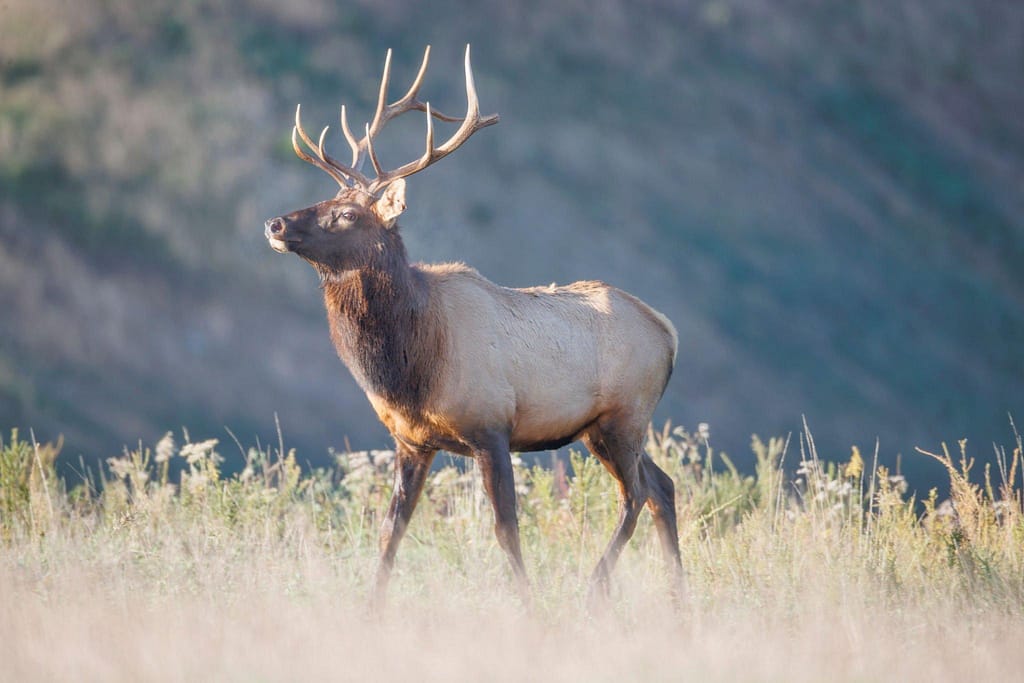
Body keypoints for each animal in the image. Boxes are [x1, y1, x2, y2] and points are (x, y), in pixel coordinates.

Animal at [264, 45, 684, 606]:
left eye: (347, 214)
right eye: (324, 200)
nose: (275, 223)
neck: (410, 366)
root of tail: (668, 332)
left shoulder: (491, 428)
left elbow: (506, 529)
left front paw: (529, 604)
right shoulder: (412, 441)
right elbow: (391, 529)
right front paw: (370, 607)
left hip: (625, 416)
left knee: (635, 494)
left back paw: (596, 586)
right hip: (604, 429)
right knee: (663, 487)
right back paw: (678, 597)